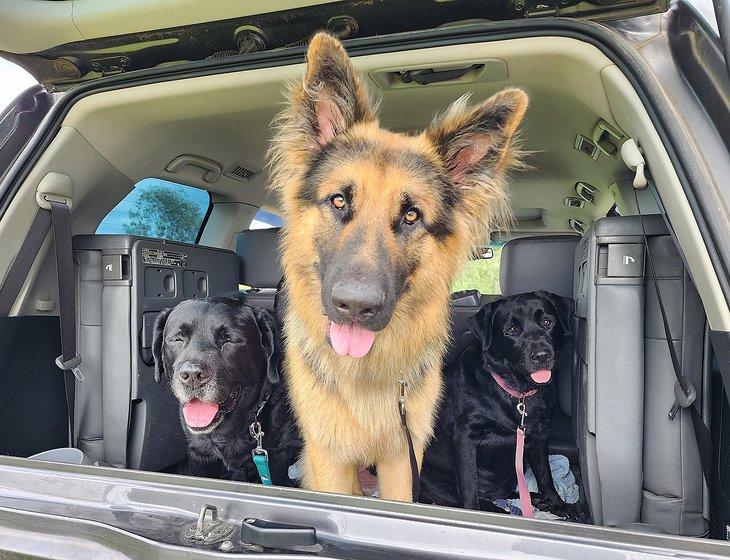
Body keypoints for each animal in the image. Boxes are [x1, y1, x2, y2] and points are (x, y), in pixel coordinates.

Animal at [268, 32, 524, 500]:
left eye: (411, 216)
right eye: (339, 200)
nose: (356, 306)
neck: (365, 373)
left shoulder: (403, 459)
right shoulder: (329, 459)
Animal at [418, 290, 576, 520]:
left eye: (547, 322)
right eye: (511, 330)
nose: (541, 356)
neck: (516, 393)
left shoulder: (539, 434)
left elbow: (545, 474)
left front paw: (557, 503)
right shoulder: (464, 437)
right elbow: (468, 487)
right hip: (435, 481)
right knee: (477, 500)